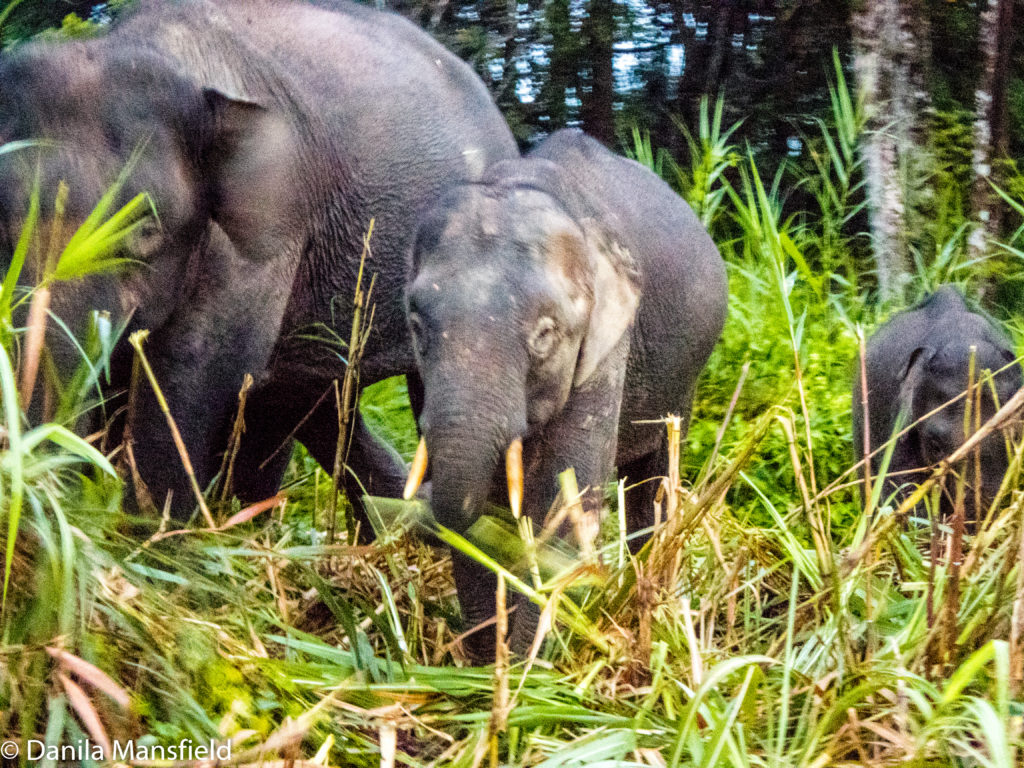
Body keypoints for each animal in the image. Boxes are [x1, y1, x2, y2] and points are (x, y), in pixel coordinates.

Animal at [399, 128, 729, 663]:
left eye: (545, 335)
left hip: (684, 382)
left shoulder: (608, 342)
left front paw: (533, 669)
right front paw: (485, 667)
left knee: (653, 483)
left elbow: (562, 500)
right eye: (417, 325)